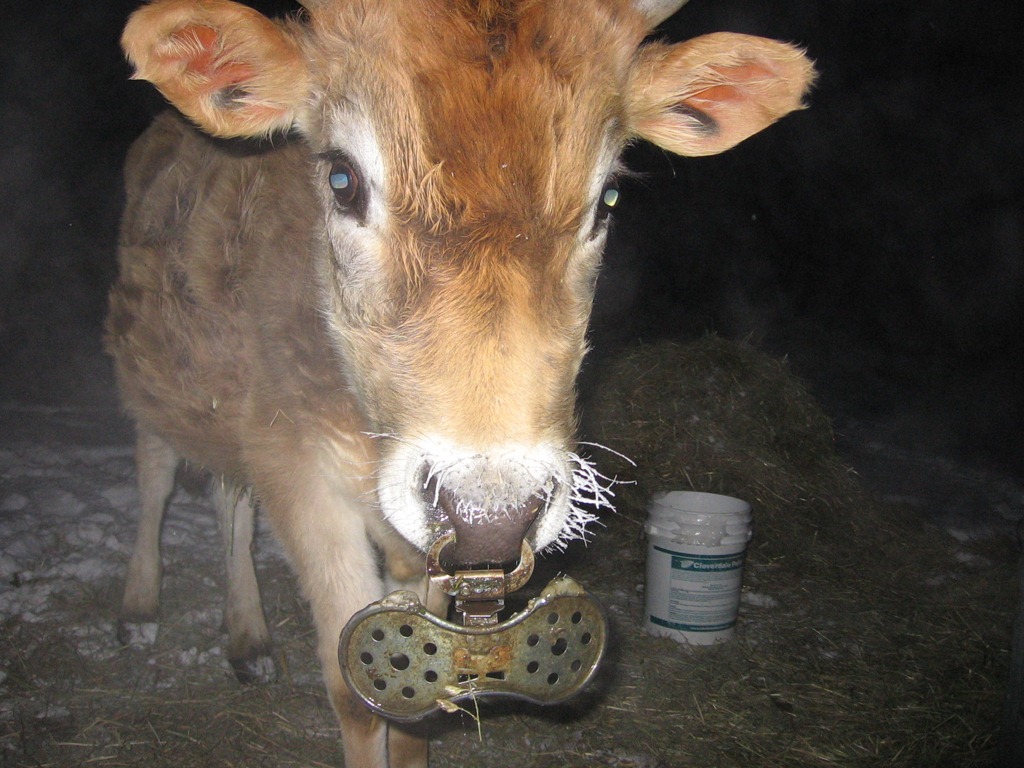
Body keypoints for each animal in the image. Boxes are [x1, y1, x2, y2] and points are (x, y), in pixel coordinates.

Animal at [104, 0, 814, 765]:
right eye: (342, 180)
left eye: (608, 198)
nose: (488, 518)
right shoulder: (293, 461)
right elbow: (354, 695)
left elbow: (416, 703)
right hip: (158, 375)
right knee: (159, 475)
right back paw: (139, 608)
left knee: (230, 500)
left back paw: (249, 639)